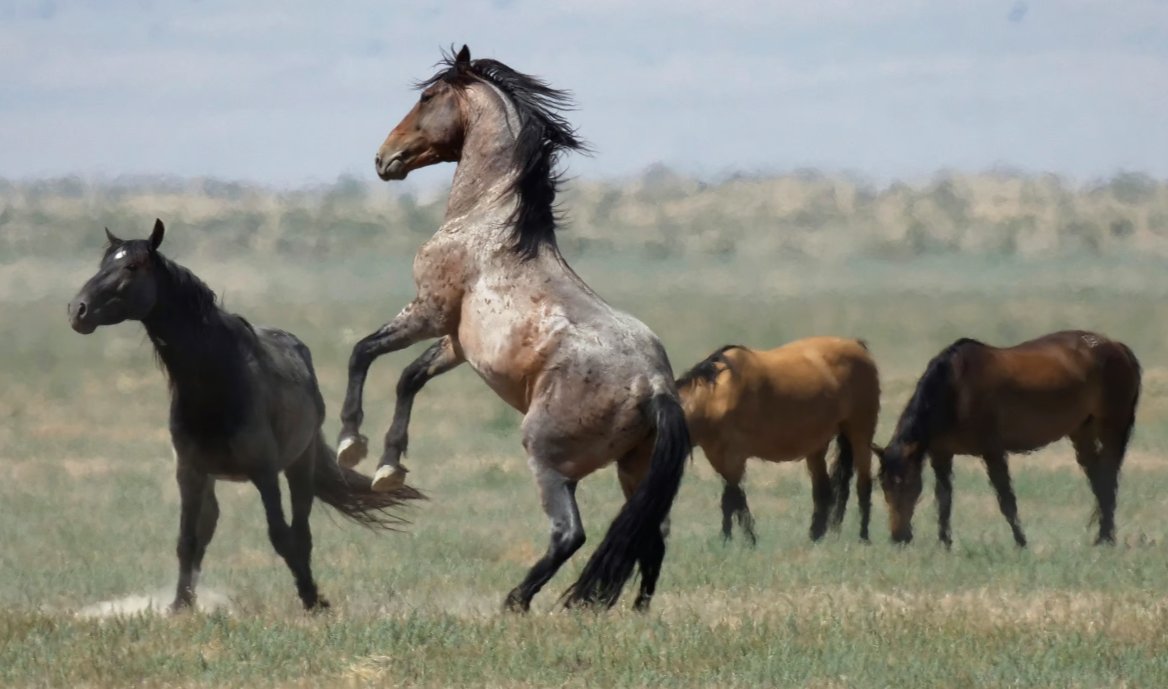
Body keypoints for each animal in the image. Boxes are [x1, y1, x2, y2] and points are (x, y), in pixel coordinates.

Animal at [67, 218, 425, 611]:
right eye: (103, 264)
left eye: (132, 266)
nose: (77, 310)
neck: (218, 382)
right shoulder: (189, 473)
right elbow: (187, 540)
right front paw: (179, 607)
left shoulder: (264, 472)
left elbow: (281, 536)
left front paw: (312, 598)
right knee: (207, 529)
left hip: (299, 464)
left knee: (301, 530)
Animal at [331, 45, 691, 611]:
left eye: (427, 96)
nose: (383, 158)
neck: (488, 222)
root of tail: (656, 387)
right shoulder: (455, 343)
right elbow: (409, 378)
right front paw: (389, 467)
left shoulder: (427, 312)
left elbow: (363, 352)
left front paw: (351, 443)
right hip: (634, 472)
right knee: (649, 536)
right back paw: (631, 612)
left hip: (547, 458)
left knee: (572, 534)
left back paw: (516, 601)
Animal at [677, 338, 878, 546]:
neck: (714, 397)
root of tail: (856, 344)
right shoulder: (717, 456)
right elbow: (734, 498)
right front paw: (734, 539)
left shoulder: (735, 455)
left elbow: (732, 498)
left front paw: (741, 540)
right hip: (818, 446)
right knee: (824, 490)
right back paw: (815, 537)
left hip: (860, 433)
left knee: (863, 484)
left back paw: (863, 537)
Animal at [878, 331, 1139, 551]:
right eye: (883, 485)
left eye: (907, 483)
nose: (898, 538)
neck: (956, 389)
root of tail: (1118, 346)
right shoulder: (941, 454)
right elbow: (943, 500)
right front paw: (945, 544)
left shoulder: (992, 451)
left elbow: (1006, 499)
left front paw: (1021, 542)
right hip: (1081, 430)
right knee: (1098, 479)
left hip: (1112, 428)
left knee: (1109, 478)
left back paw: (1106, 538)